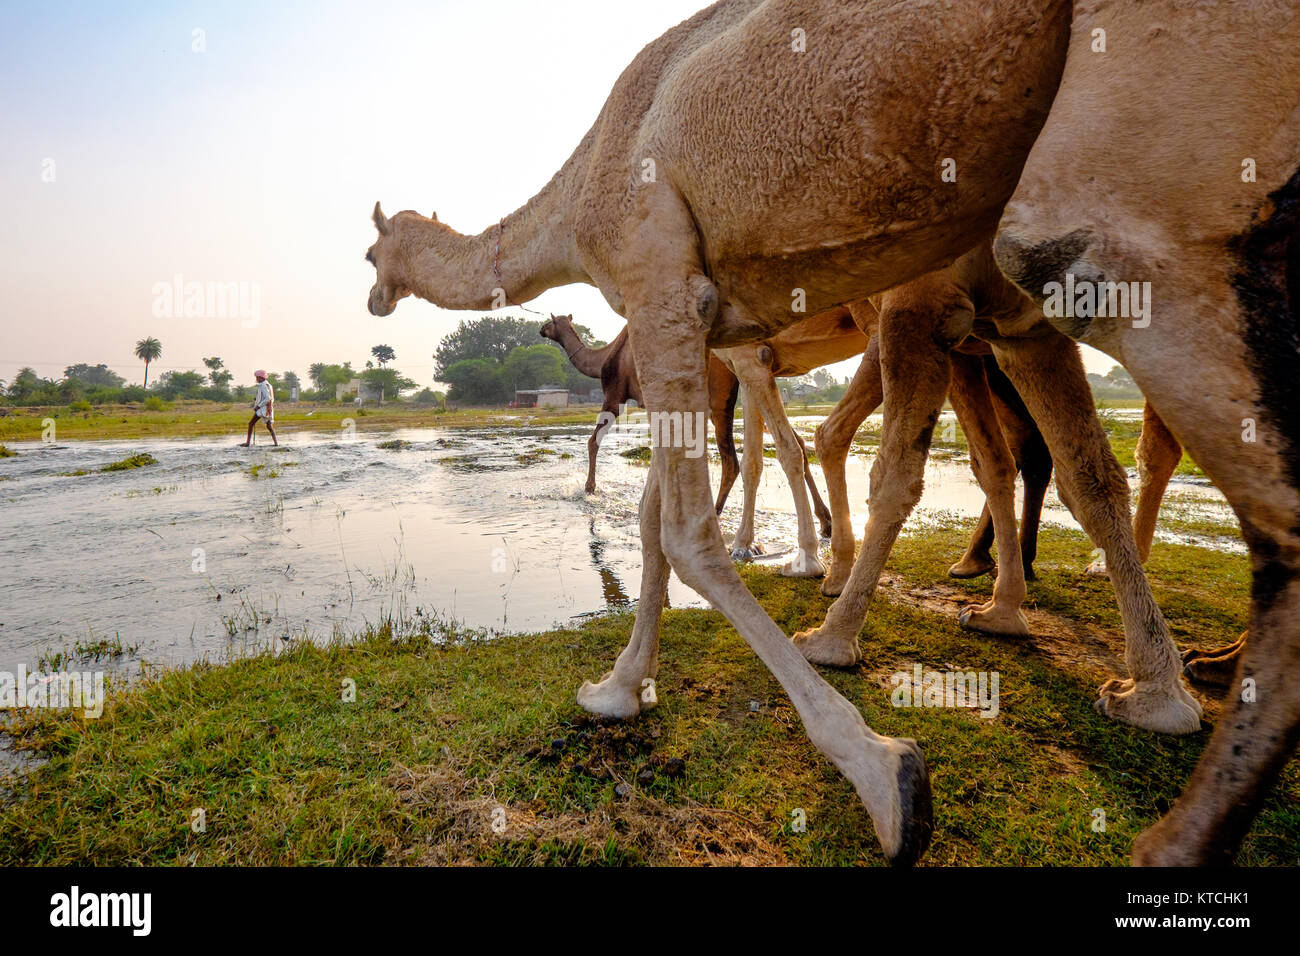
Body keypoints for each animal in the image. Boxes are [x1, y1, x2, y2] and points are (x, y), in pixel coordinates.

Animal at [366, 0, 1206, 868]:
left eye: (371, 251)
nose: (373, 296)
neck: (581, 189)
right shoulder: (703, 325)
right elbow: (657, 517)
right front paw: (619, 688)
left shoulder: (664, 287)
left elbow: (686, 528)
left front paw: (882, 772)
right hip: (1023, 306)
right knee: (1077, 466)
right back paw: (1141, 685)